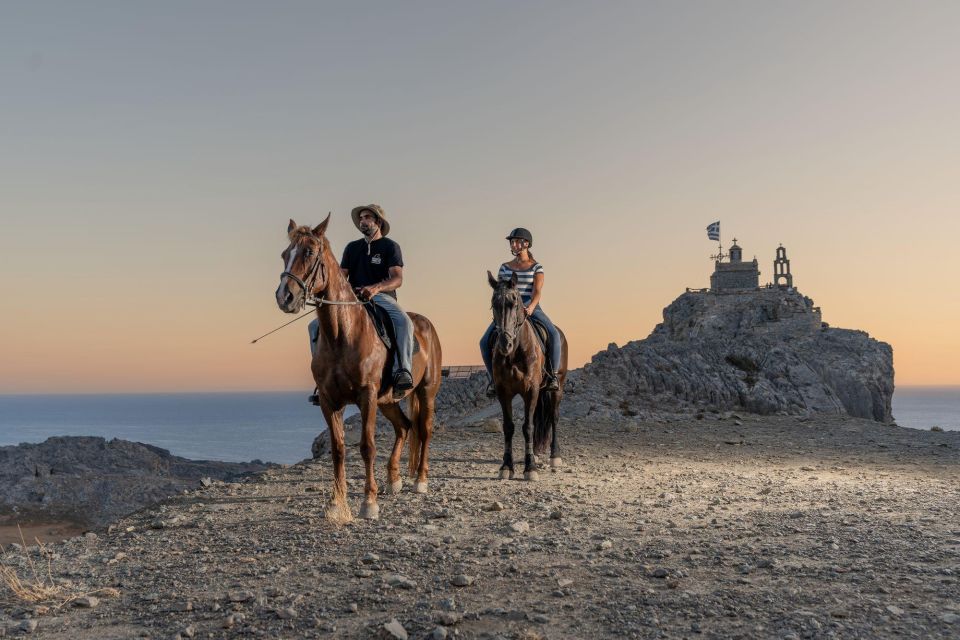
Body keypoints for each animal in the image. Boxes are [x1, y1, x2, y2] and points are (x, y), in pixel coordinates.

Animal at [276, 218, 444, 524]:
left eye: (309, 252)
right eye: (285, 254)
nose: (285, 297)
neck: (343, 334)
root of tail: (426, 325)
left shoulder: (367, 396)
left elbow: (367, 447)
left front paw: (369, 503)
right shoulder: (330, 401)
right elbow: (338, 450)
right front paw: (336, 503)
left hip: (426, 393)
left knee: (424, 430)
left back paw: (420, 481)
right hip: (387, 400)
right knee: (404, 427)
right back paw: (394, 480)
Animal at [492, 270, 568, 480]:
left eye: (515, 303)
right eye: (494, 304)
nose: (505, 344)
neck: (515, 351)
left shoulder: (531, 391)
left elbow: (527, 427)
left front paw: (530, 468)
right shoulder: (503, 392)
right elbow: (509, 427)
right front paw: (506, 467)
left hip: (556, 389)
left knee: (554, 417)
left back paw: (555, 457)